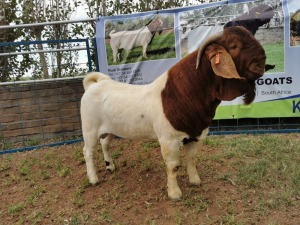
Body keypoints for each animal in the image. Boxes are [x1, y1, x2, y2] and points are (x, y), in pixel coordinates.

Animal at [81, 25, 274, 200]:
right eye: (234, 46)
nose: (263, 63)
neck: (183, 93)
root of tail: (95, 84)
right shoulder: (169, 140)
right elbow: (173, 166)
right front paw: (174, 193)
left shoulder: (193, 134)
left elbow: (191, 158)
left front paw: (195, 180)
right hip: (89, 129)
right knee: (88, 151)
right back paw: (93, 179)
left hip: (110, 129)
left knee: (105, 144)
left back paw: (110, 166)